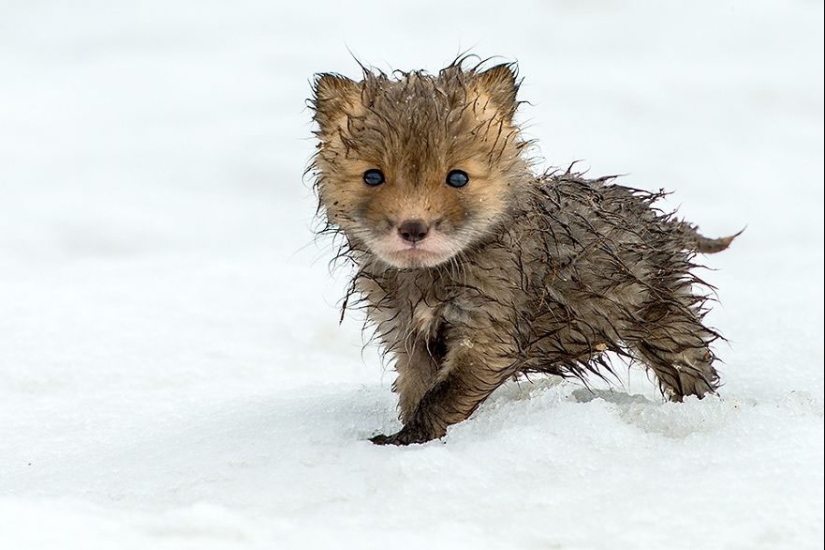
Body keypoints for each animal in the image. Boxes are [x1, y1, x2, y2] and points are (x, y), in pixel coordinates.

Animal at [308, 58, 738, 445]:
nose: (413, 228)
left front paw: (409, 437)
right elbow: (416, 389)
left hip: (664, 316)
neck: (429, 280)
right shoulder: (404, 332)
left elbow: (443, 396)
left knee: (691, 363)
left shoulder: (491, 330)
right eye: (373, 176)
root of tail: (659, 220)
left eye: (458, 177)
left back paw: (699, 412)